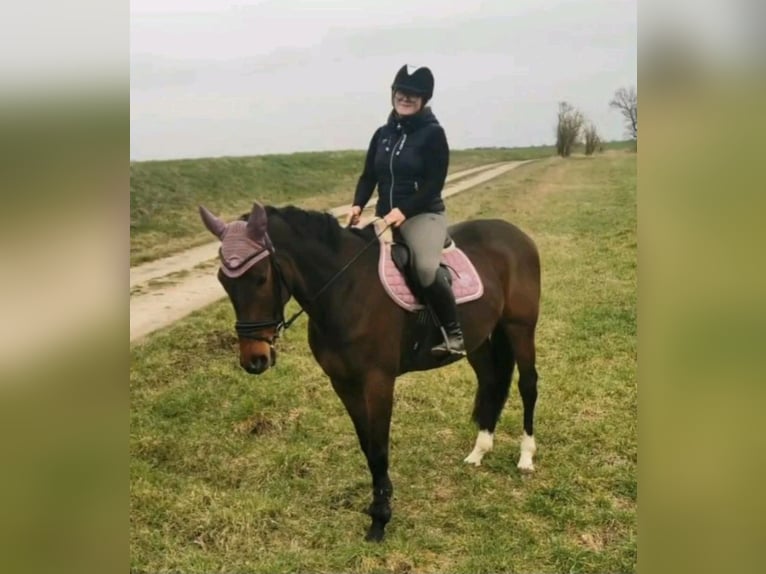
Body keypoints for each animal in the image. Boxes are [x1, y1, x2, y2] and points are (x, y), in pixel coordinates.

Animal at [199, 201, 541, 542]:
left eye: (259, 277)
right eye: (223, 281)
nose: (253, 359)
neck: (345, 290)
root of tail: (516, 234)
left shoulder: (377, 382)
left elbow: (378, 448)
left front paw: (380, 518)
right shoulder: (343, 383)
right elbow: (366, 445)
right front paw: (378, 504)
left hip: (520, 327)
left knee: (528, 385)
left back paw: (526, 457)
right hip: (479, 338)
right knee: (491, 382)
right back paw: (479, 451)